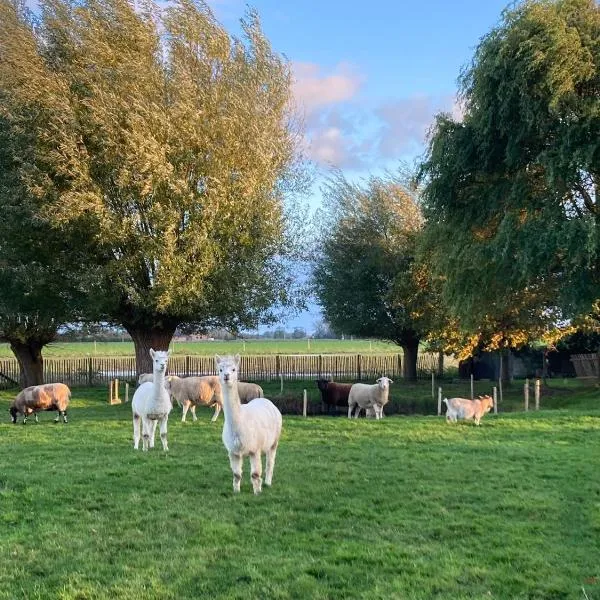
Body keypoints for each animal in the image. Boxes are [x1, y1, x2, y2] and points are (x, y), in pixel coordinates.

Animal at [216, 354, 282, 494]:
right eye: (220, 369)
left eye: (234, 369)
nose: (226, 376)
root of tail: (265, 400)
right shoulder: (233, 451)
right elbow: (236, 474)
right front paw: (236, 491)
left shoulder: (254, 449)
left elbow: (255, 474)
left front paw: (257, 492)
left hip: (275, 440)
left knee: (270, 462)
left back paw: (267, 482)